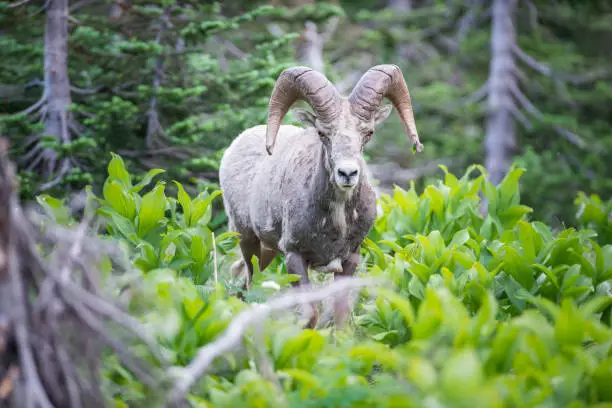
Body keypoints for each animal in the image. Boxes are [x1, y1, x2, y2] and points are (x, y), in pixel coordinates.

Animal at [218, 64, 424, 328]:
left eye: (368, 133)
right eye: (322, 133)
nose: (347, 173)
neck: (337, 222)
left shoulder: (350, 260)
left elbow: (340, 315)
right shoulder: (295, 257)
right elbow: (310, 315)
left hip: (266, 251)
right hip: (247, 241)